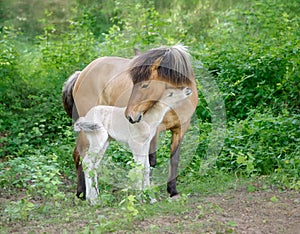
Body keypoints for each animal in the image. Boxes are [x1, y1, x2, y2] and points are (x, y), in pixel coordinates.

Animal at [62, 45, 198, 199]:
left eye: (145, 85)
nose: (130, 116)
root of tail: (81, 73)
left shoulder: (180, 129)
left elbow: (174, 159)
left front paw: (173, 191)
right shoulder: (153, 132)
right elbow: (150, 161)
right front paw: (147, 193)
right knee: (80, 155)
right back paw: (82, 193)